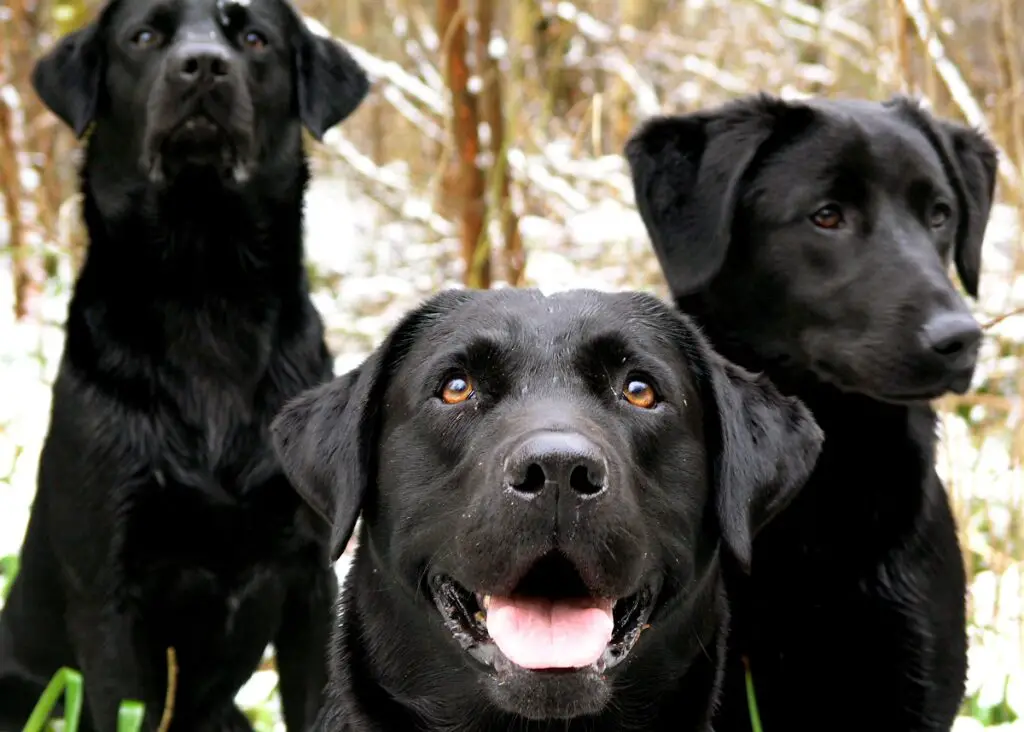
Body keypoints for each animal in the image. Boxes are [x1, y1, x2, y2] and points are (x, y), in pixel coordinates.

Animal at [0, 1, 370, 732]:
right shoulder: (110, 595)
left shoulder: (311, 579)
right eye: (143, 36)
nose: (202, 66)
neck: (206, 288)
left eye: (254, 37)